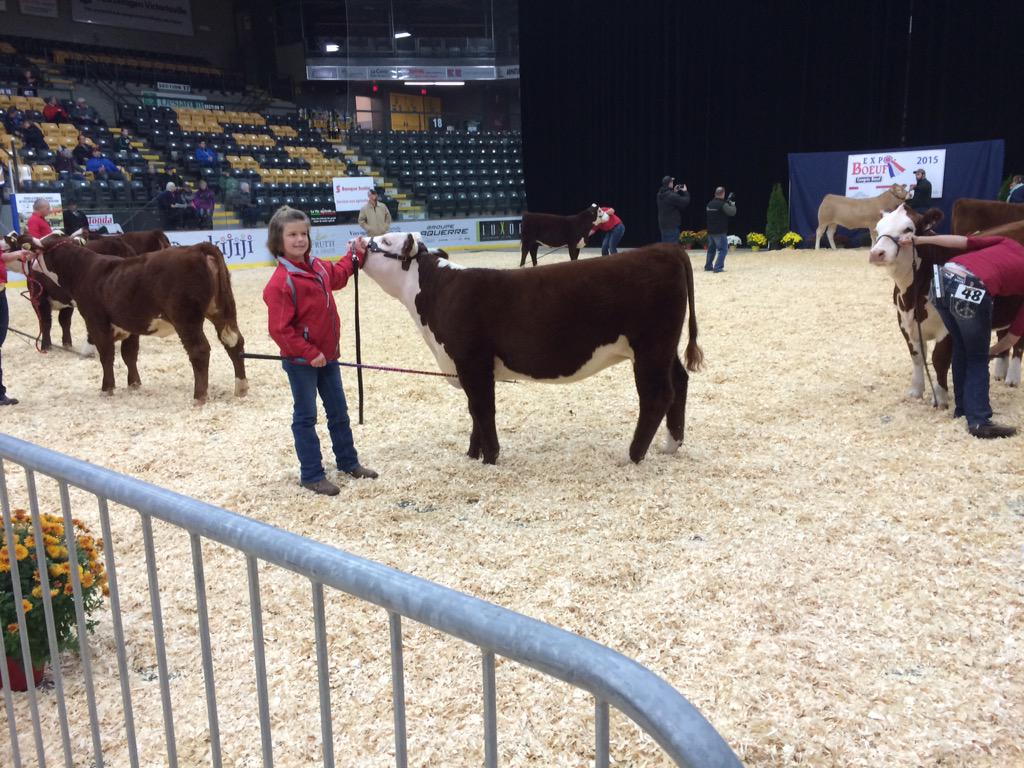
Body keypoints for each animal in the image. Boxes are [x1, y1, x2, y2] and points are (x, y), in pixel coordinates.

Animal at [23, 237, 248, 403]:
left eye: (37, 252)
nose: (29, 264)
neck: (84, 271)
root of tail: (197, 248)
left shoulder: (96, 322)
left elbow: (107, 356)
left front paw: (107, 388)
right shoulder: (128, 325)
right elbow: (129, 354)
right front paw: (134, 383)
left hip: (186, 318)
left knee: (199, 350)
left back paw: (199, 396)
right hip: (222, 311)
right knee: (234, 343)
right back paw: (241, 388)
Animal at [360, 232, 702, 465]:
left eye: (386, 240)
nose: (359, 240)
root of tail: (664, 248)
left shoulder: (472, 361)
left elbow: (482, 409)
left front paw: (490, 457)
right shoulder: (470, 368)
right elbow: (474, 410)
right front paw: (473, 454)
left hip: (650, 348)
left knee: (657, 396)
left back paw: (633, 455)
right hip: (664, 348)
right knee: (680, 382)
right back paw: (671, 444)